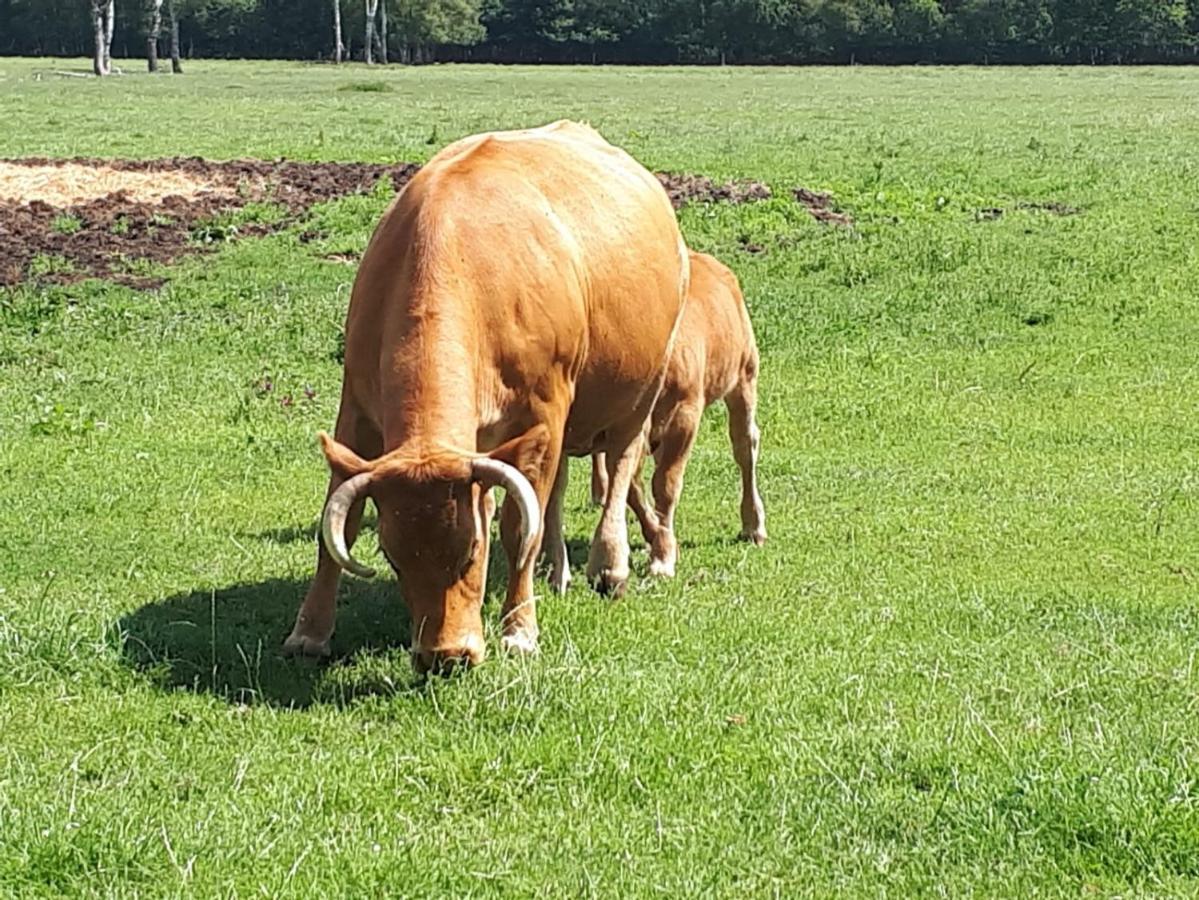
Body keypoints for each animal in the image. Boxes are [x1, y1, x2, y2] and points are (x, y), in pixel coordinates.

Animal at [281, 119, 690, 671]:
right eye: (392, 555)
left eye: (473, 551)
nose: (445, 655)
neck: (453, 255)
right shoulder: (358, 414)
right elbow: (336, 527)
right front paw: (310, 632)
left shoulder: (543, 412)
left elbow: (519, 527)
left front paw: (520, 630)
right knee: (558, 489)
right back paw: (558, 571)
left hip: (639, 390)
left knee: (621, 465)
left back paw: (610, 564)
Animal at [589, 254, 767, 577]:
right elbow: (631, 485)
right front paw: (657, 537)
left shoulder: (685, 417)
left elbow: (666, 484)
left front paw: (662, 557)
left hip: (744, 376)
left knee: (745, 446)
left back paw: (753, 525)